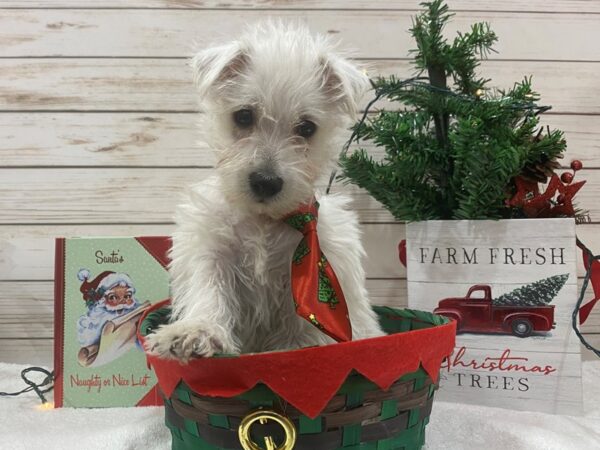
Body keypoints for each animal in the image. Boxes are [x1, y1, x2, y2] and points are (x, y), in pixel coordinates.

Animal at [148, 21, 386, 362]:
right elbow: (209, 291)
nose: (265, 181)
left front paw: (300, 349)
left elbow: (304, 327)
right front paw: (197, 331)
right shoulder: (210, 252)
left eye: (307, 128)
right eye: (244, 116)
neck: (263, 219)